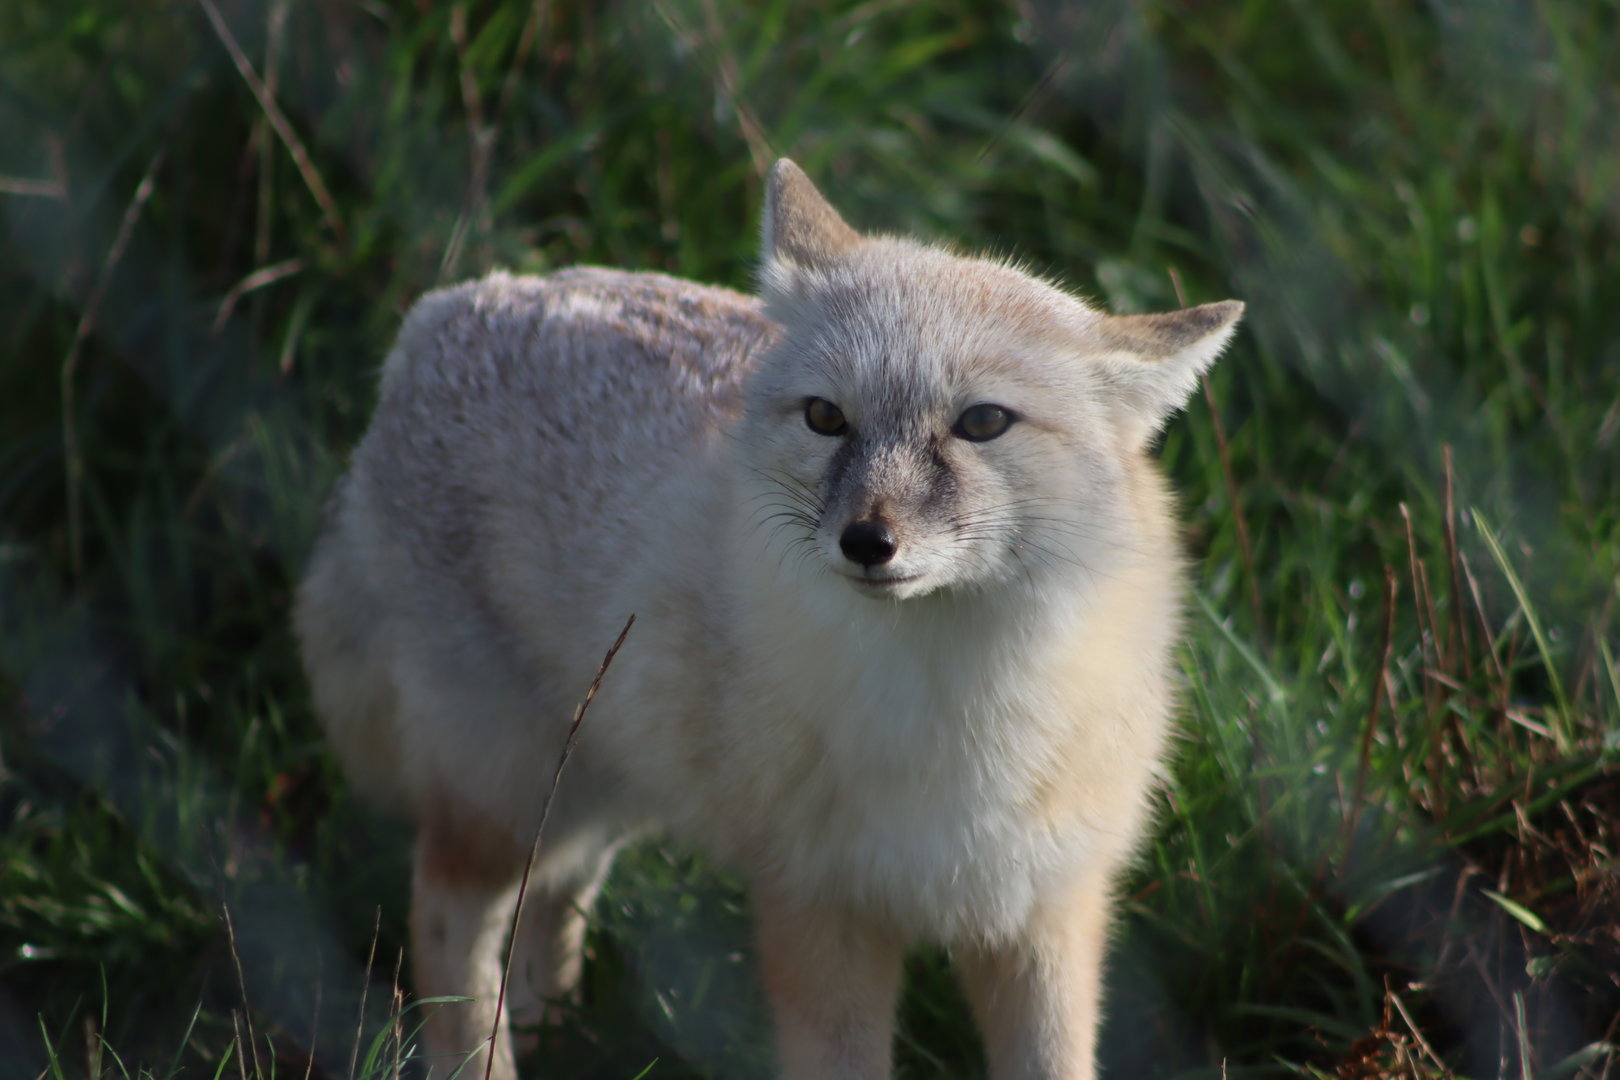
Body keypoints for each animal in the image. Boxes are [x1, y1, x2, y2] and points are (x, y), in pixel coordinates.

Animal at [295, 159, 1243, 1080]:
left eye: (982, 422)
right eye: (827, 418)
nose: (866, 541)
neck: (957, 713)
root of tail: (449, 309)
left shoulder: (1043, 906)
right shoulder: (821, 907)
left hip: (606, 777)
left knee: (554, 893)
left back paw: (553, 1018)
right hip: (507, 789)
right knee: (445, 919)